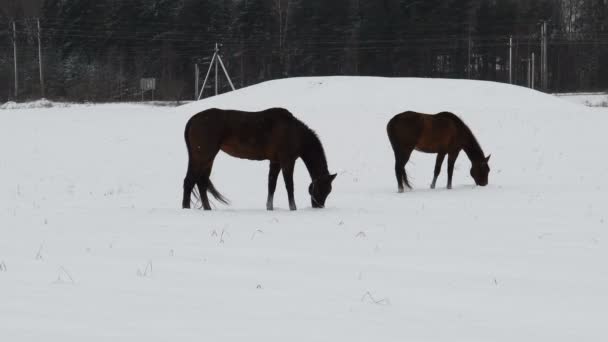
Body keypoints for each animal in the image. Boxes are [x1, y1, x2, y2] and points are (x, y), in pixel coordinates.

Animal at [183, 107, 340, 210]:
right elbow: (289, 185)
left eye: (329, 191)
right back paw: (186, 208)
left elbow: (272, 185)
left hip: (207, 159)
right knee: (190, 181)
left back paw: (207, 209)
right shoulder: (287, 161)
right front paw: (293, 208)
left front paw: (269, 207)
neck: (295, 133)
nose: (318, 206)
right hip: (203, 156)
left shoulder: (275, 162)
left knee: (201, 182)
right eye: (321, 189)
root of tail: (192, 120)